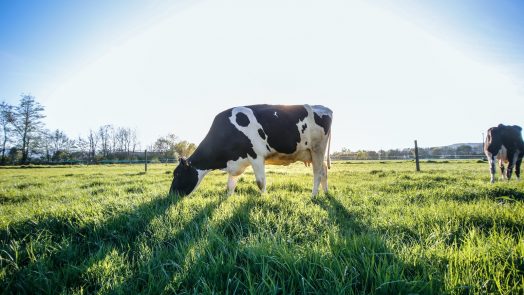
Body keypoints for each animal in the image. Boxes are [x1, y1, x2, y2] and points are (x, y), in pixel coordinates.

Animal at [170, 105, 334, 198]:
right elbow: (230, 185)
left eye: (177, 174)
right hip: (311, 153)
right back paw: (326, 192)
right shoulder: (235, 162)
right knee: (324, 170)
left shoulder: (256, 156)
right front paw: (227, 199)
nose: (170, 195)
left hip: (317, 148)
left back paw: (313, 196)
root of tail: (324, 107)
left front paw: (264, 198)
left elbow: (260, 182)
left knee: (317, 173)